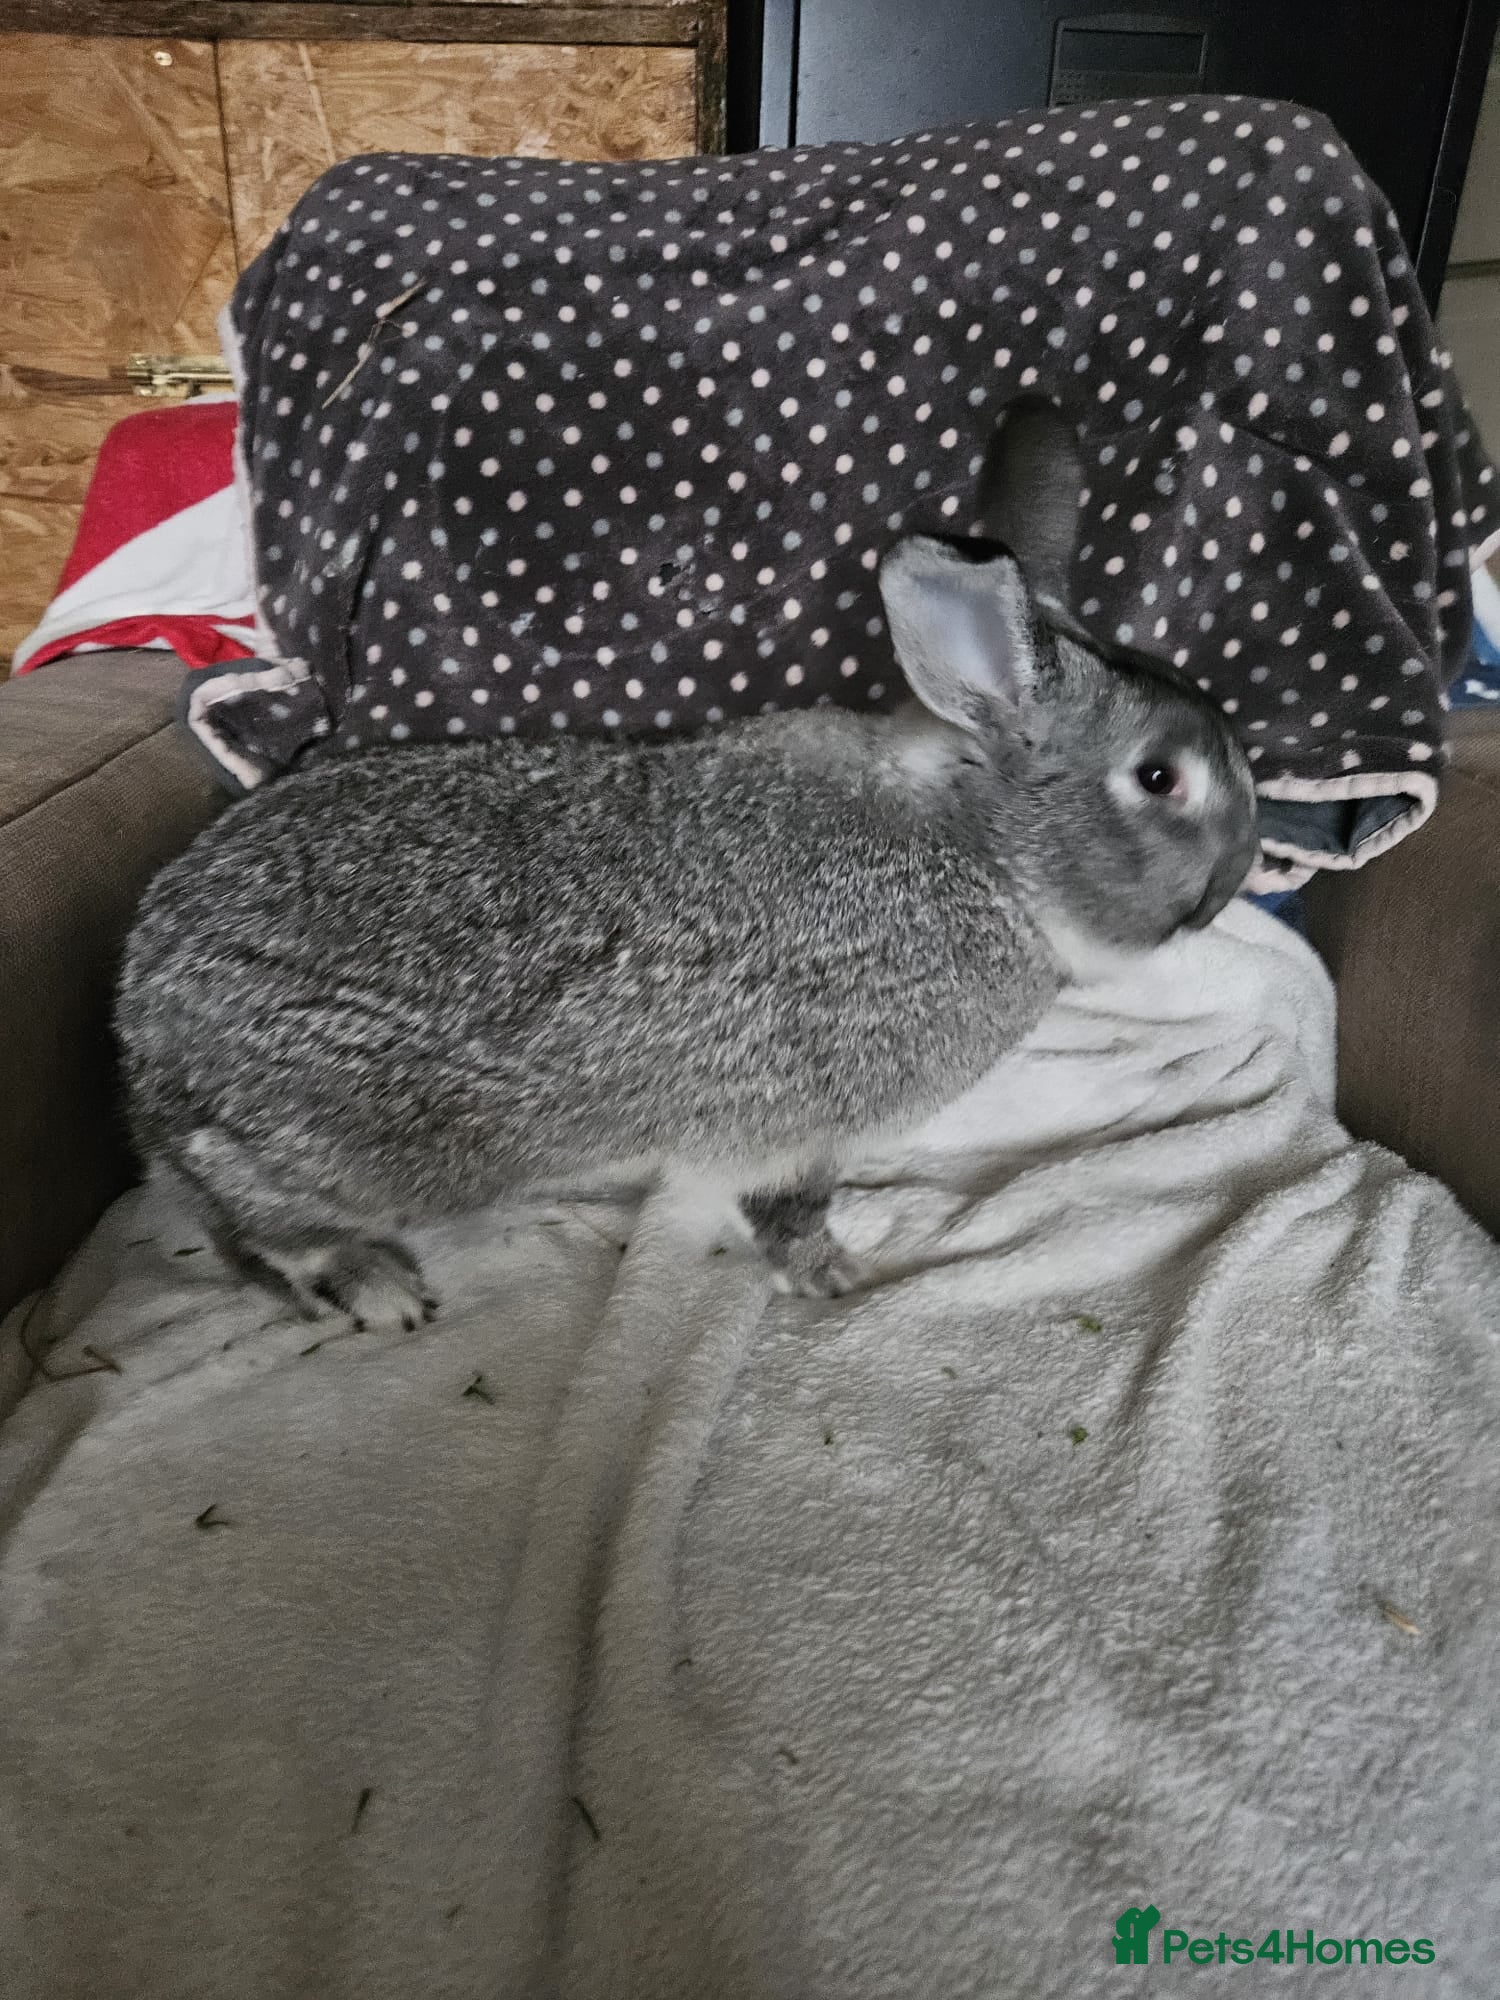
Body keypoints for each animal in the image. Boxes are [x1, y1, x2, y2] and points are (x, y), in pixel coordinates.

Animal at [115, 399, 1259, 1329]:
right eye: (1161, 778)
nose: (1232, 880)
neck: (984, 853)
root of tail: (140, 1042)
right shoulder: (805, 1120)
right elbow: (787, 1206)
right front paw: (832, 1275)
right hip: (364, 1147)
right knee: (254, 1211)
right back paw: (373, 1284)